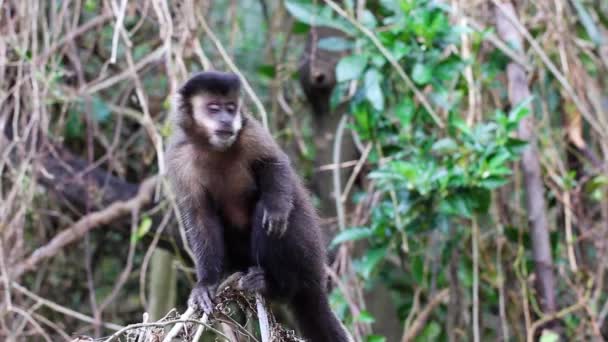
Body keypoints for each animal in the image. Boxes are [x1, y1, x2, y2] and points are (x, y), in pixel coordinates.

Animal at [166, 71, 352, 340]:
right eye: (213, 108)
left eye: (231, 108)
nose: (226, 120)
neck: (213, 148)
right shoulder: (179, 158)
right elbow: (201, 216)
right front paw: (206, 283)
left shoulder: (250, 132)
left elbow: (273, 163)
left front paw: (275, 209)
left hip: (307, 259)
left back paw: (274, 285)